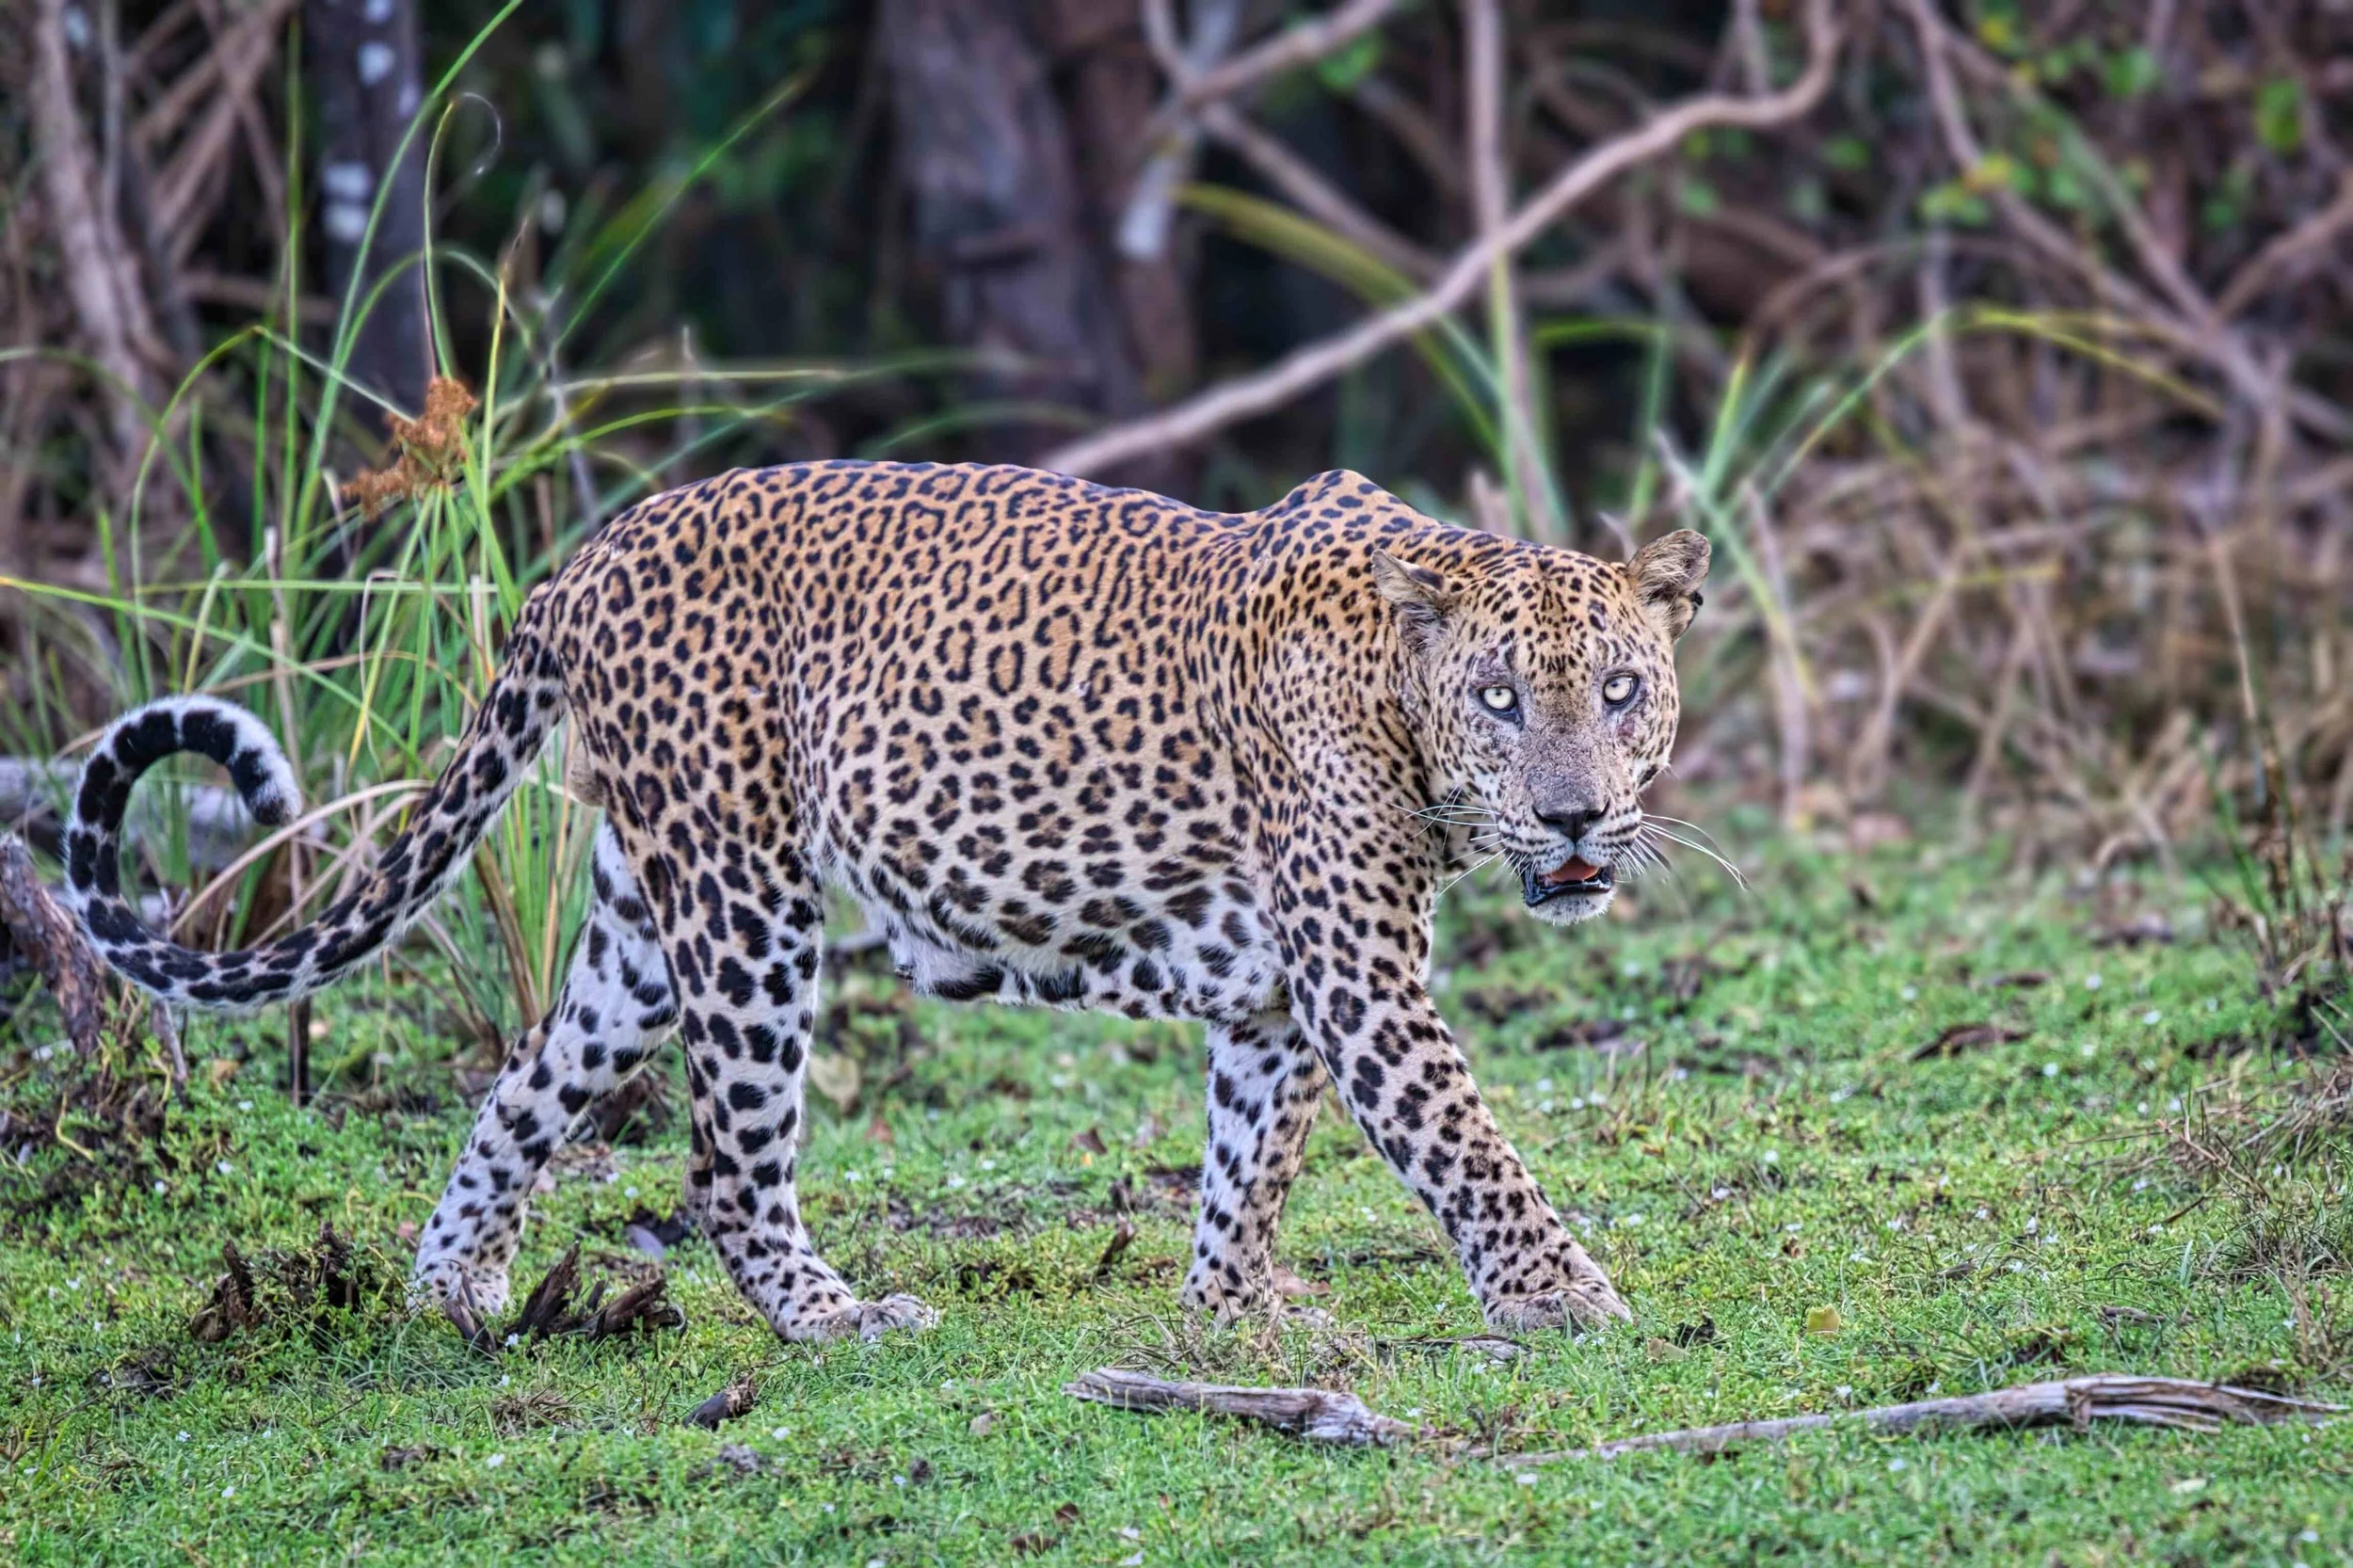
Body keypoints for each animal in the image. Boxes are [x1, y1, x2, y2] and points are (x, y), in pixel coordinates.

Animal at [61, 461, 1708, 1344]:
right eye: (1503, 700)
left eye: (1622, 692)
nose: (1575, 813)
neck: (1401, 691)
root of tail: (584, 558)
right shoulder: (1358, 972)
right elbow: (1462, 1137)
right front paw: (1564, 1299)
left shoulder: (1275, 990)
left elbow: (1255, 1161)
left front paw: (1236, 1315)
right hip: (744, 901)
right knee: (723, 1168)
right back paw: (835, 1317)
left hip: (639, 930)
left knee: (526, 1081)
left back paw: (457, 1289)